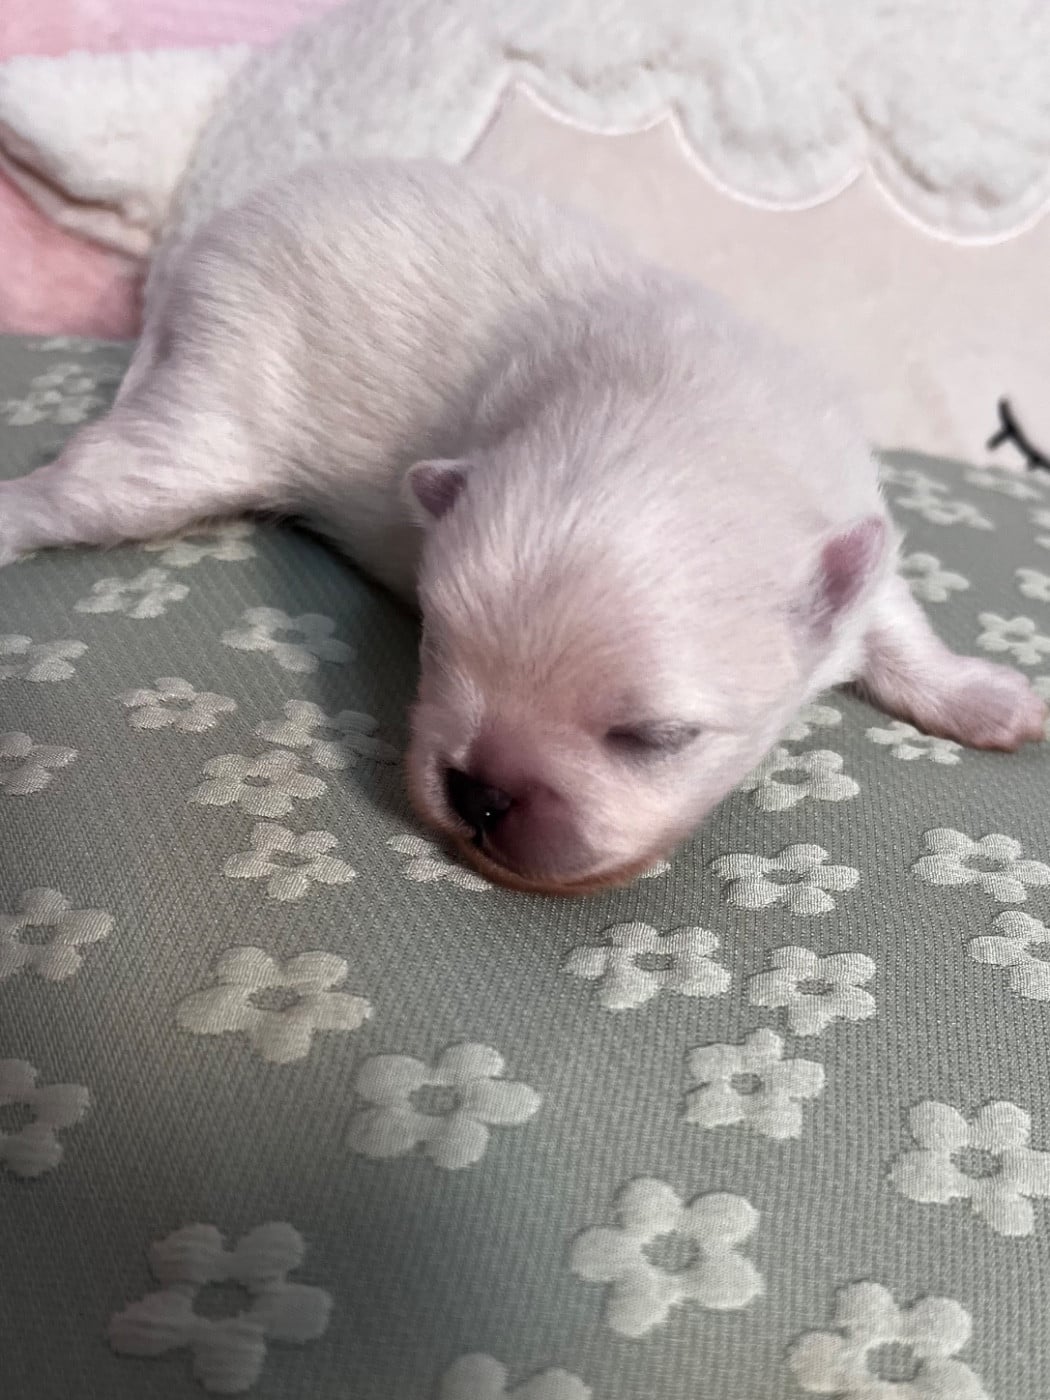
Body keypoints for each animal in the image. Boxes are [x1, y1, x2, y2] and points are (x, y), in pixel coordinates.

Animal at [1, 160, 1044, 893]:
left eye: (655, 737)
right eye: (434, 645)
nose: (479, 792)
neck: (672, 409)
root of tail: (208, 242)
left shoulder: (848, 532)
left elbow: (896, 621)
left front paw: (987, 698)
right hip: (202, 419)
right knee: (90, 481)